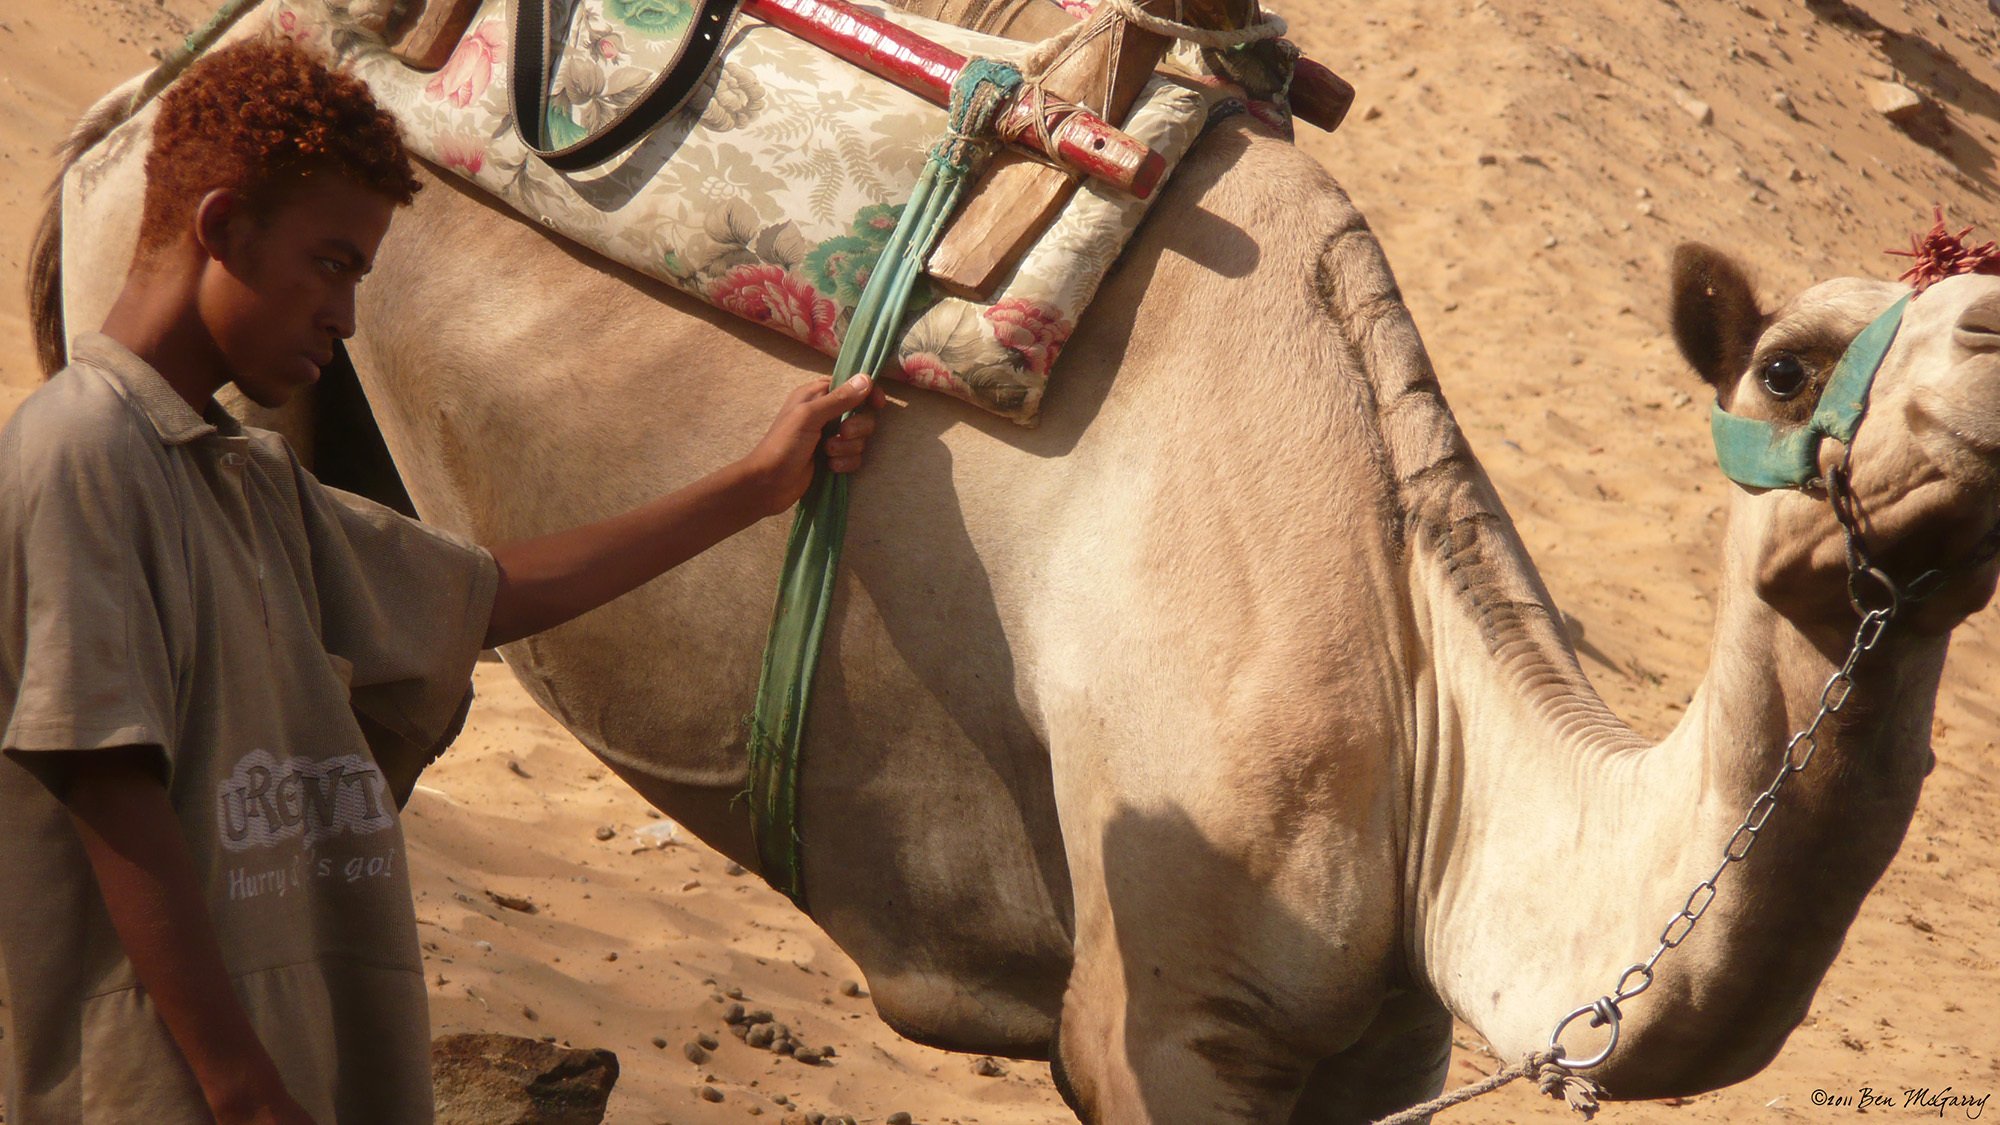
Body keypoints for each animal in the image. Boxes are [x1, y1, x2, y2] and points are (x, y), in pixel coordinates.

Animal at [27, 13, 2000, 1112]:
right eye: (1787, 364)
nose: (1991, 352)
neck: (1432, 735)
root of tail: (155, 88)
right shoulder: (1161, 1025)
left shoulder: (1354, 1074)